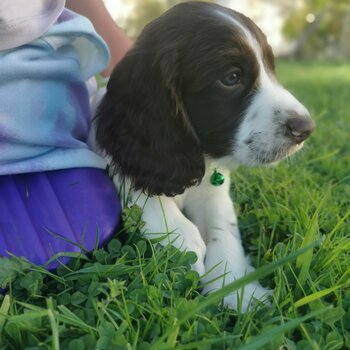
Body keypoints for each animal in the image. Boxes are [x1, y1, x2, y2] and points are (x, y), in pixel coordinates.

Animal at [95, 1, 314, 310]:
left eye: (271, 68)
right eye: (231, 78)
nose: (305, 128)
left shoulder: (215, 190)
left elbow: (224, 229)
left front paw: (236, 289)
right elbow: (146, 196)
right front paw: (185, 245)